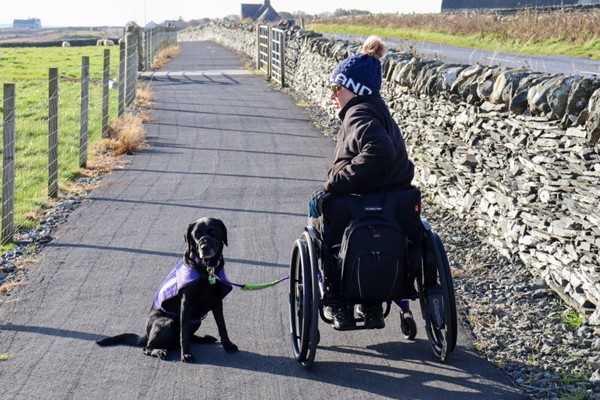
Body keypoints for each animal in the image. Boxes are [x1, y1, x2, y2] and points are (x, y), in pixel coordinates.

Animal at [95, 219, 237, 362]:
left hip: (196, 321)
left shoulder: (217, 301)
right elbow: (183, 333)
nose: (204, 247)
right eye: (196, 234)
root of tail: (146, 334)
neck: (207, 269)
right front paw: (186, 354)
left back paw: (204, 338)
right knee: (148, 347)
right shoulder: (186, 303)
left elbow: (222, 325)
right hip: (169, 322)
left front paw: (228, 345)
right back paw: (159, 351)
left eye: (213, 231)